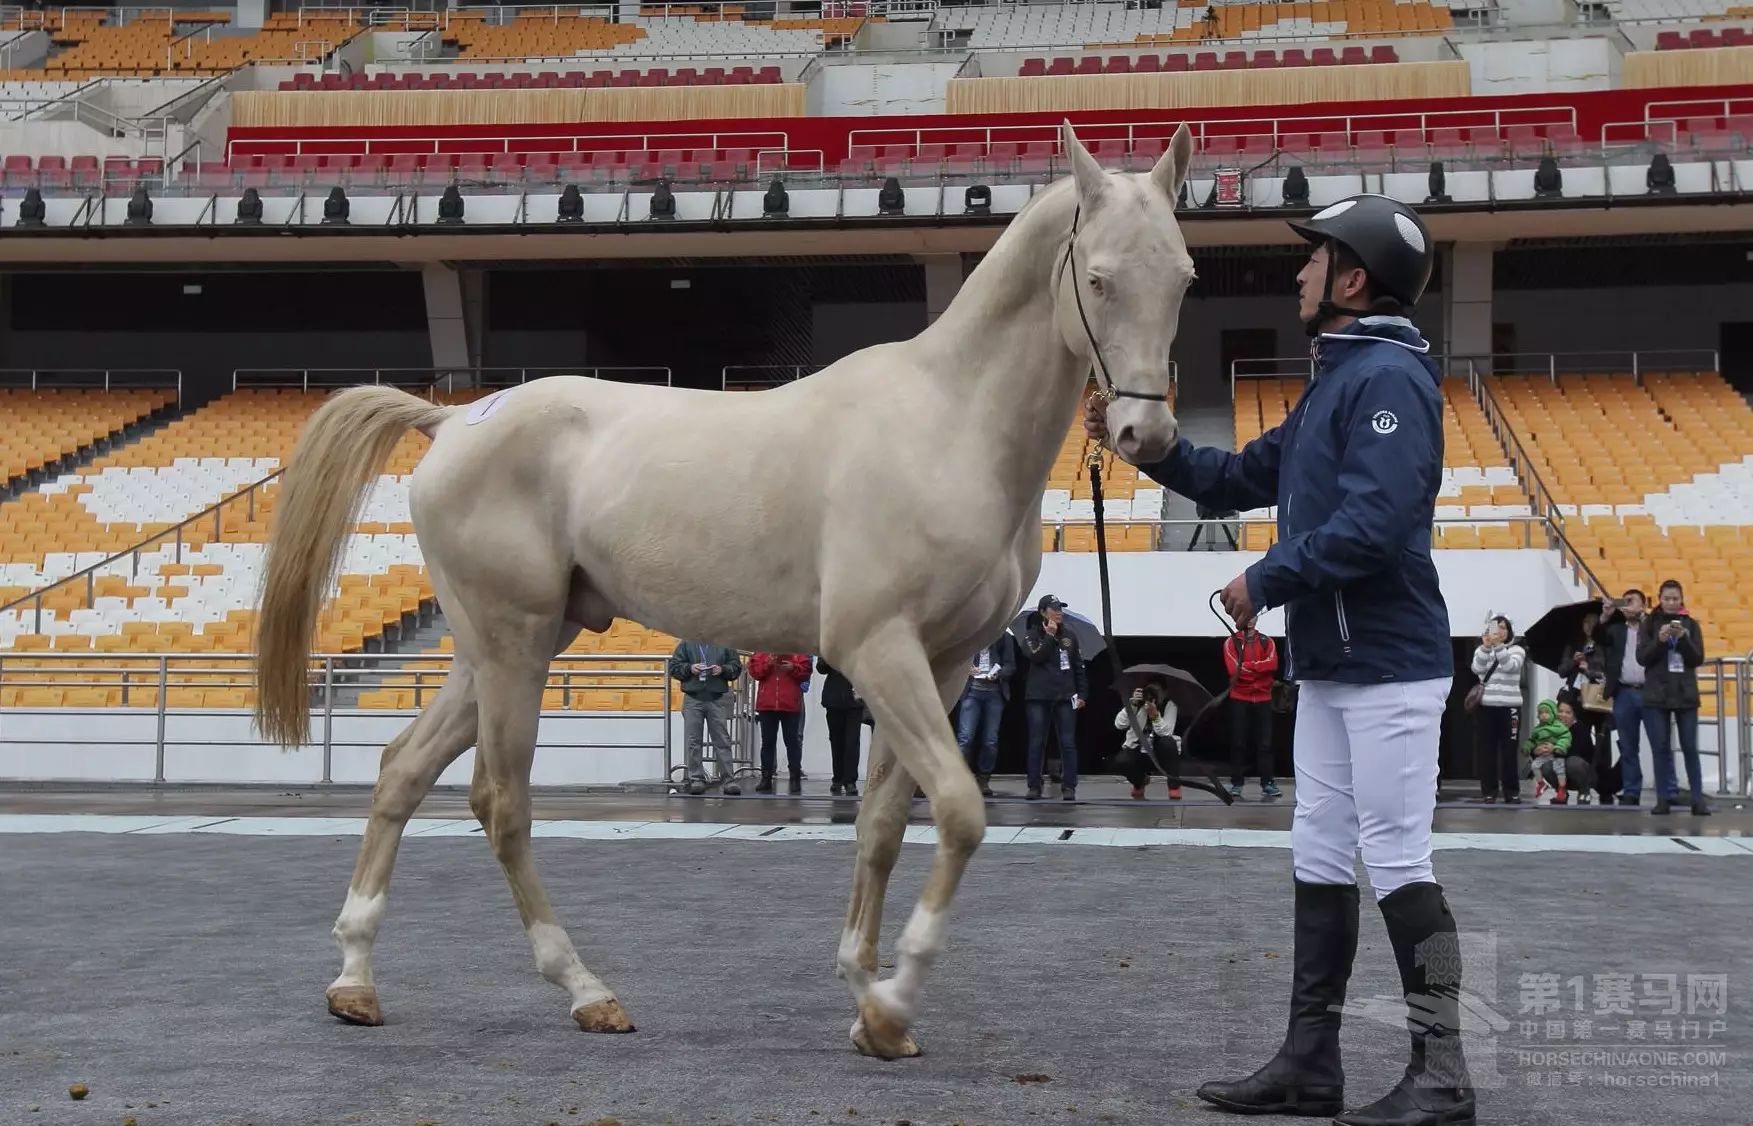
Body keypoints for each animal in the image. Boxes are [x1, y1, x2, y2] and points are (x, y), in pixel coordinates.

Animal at [254, 124, 1199, 1059]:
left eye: (1184, 275)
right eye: (1098, 278)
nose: (1143, 434)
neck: (946, 424)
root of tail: (452, 420)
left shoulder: (944, 663)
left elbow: (883, 822)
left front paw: (865, 999)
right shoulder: (876, 650)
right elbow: (961, 812)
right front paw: (894, 1003)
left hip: (497, 650)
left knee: (402, 771)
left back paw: (355, 980)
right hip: (513, 645)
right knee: (500, 800)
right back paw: (587, 991)